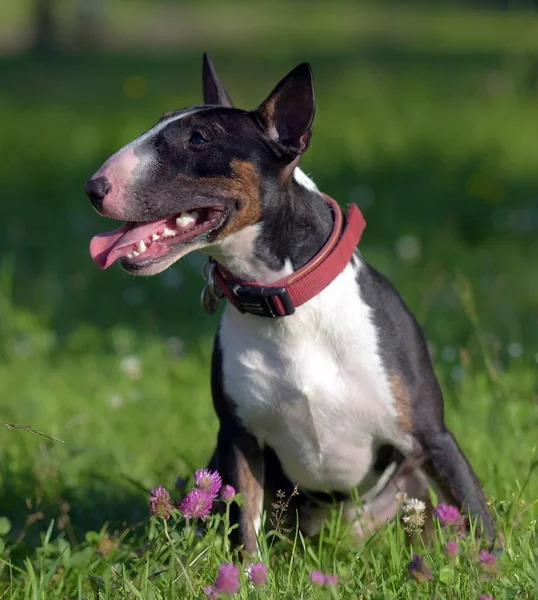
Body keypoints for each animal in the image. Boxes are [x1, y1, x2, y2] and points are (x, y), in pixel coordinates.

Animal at [85, 54, 494, 556]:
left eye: (199, 138)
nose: (94, 187)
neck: (284, 302)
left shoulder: (430, 434)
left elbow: (476, 513)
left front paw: (495, 565)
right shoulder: (238, 439)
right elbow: (243, 528)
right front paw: (246, 573)